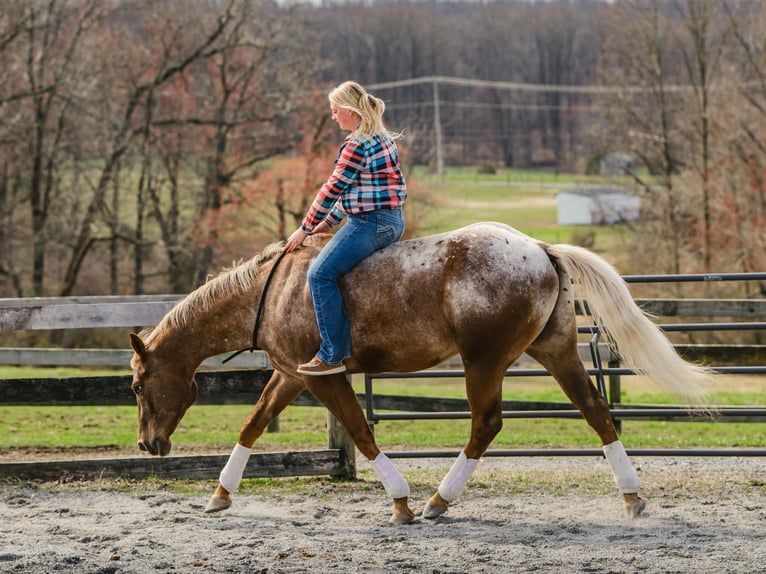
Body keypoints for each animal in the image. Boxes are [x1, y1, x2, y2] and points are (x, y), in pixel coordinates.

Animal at [129, 221, 711, 525]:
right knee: (596, 411)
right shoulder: (293, 375)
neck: (274, 291)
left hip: (483, 363)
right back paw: (632, 497)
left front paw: (402, 501)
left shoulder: (321, 377)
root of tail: (540, 249)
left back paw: (438, 500)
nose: (146, 444)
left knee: (486, 425)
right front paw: (220, 493)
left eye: (136, 384)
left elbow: (360, 433)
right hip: (556, 351)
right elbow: (252, 424)